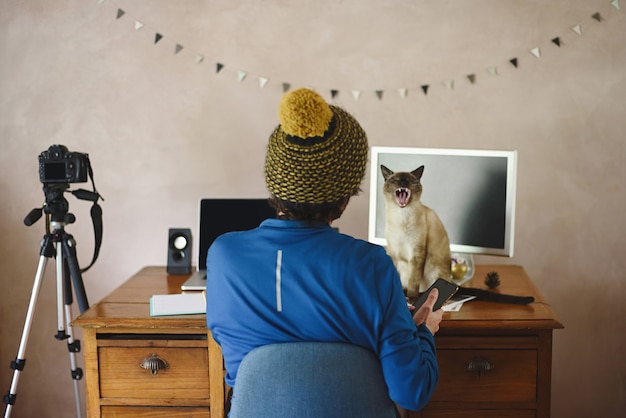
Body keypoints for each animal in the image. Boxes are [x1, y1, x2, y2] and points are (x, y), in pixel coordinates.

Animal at [378, 164, 450, 298]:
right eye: (395, 179)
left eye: (409, 180)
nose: (402, 182)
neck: (401, 216)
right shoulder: (393, 252)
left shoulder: (416, 252)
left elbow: (413, 281)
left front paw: (411, 298)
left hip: (434, 269)